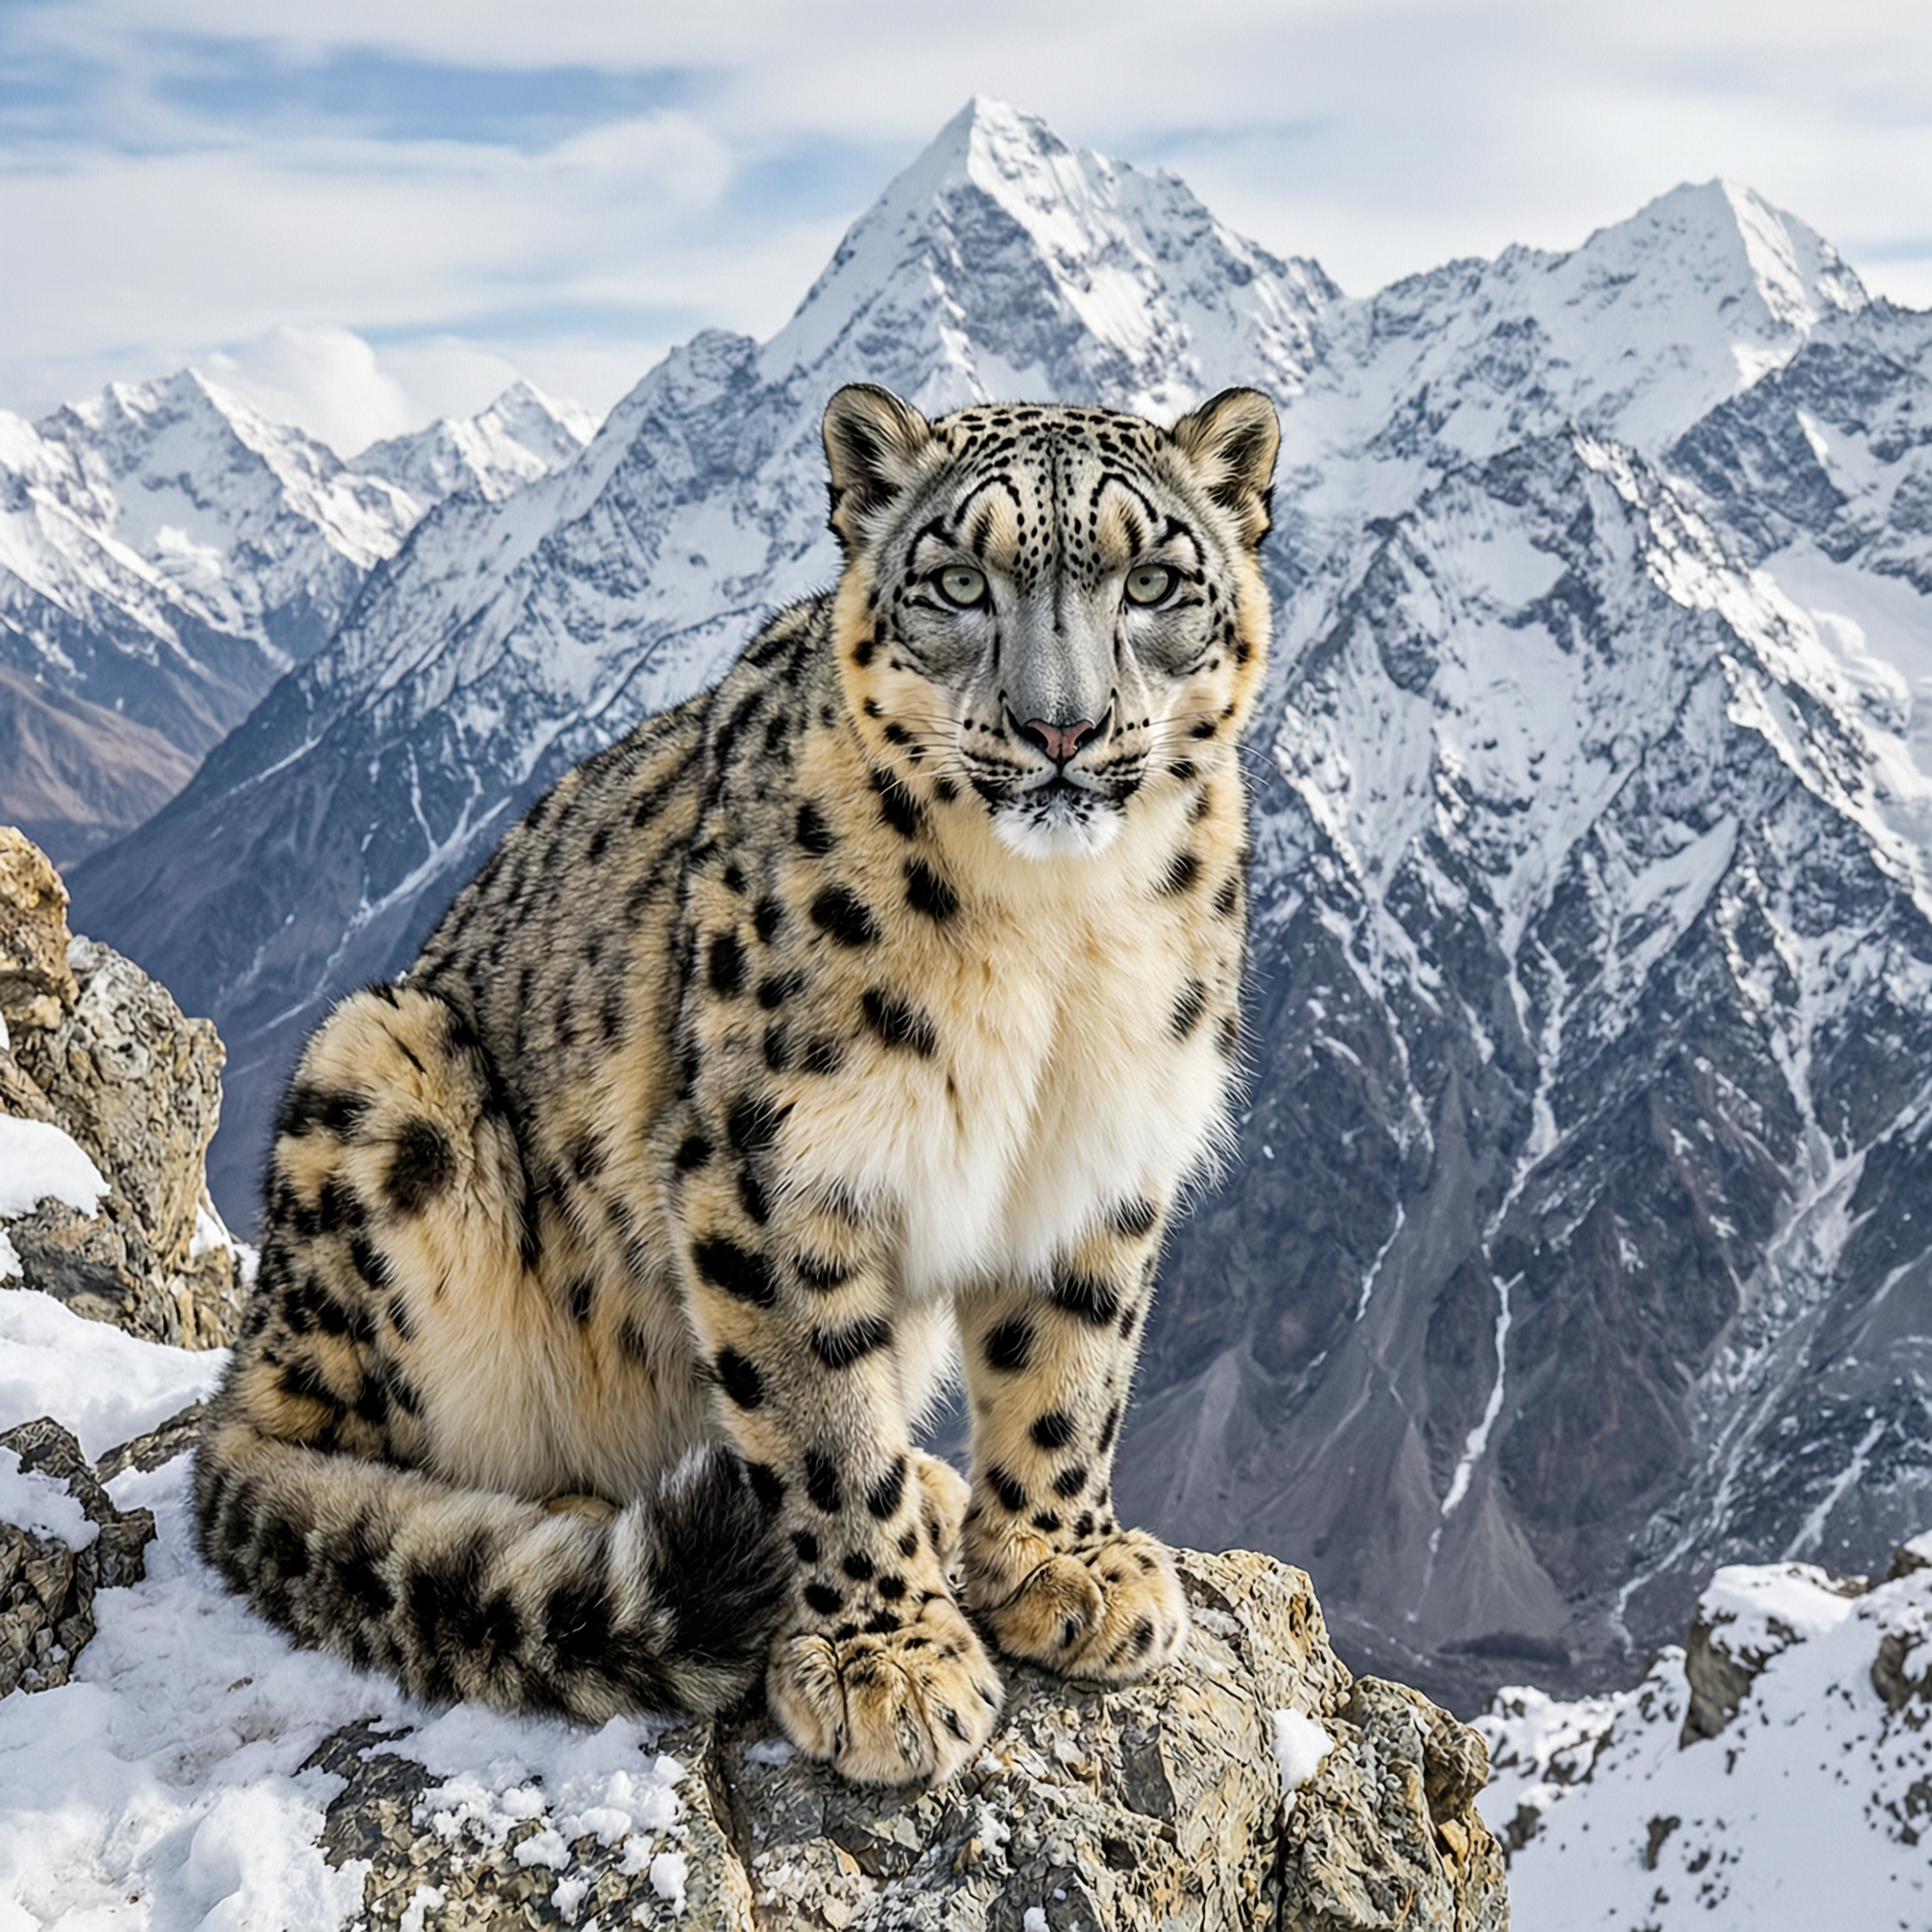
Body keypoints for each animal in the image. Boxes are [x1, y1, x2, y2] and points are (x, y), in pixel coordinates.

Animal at [193, 381, 1280, 1786]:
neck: (1059, 933)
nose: (1062, 727)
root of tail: (248, 1361)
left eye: (1151, 581)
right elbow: (820, 1417)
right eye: (960, 581)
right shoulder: (774, 1165)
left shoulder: (1108, 1145)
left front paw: (1064, 1566)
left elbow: (1070, 1371)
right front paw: (890, 1662)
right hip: (379, 1076)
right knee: (365, 1454)